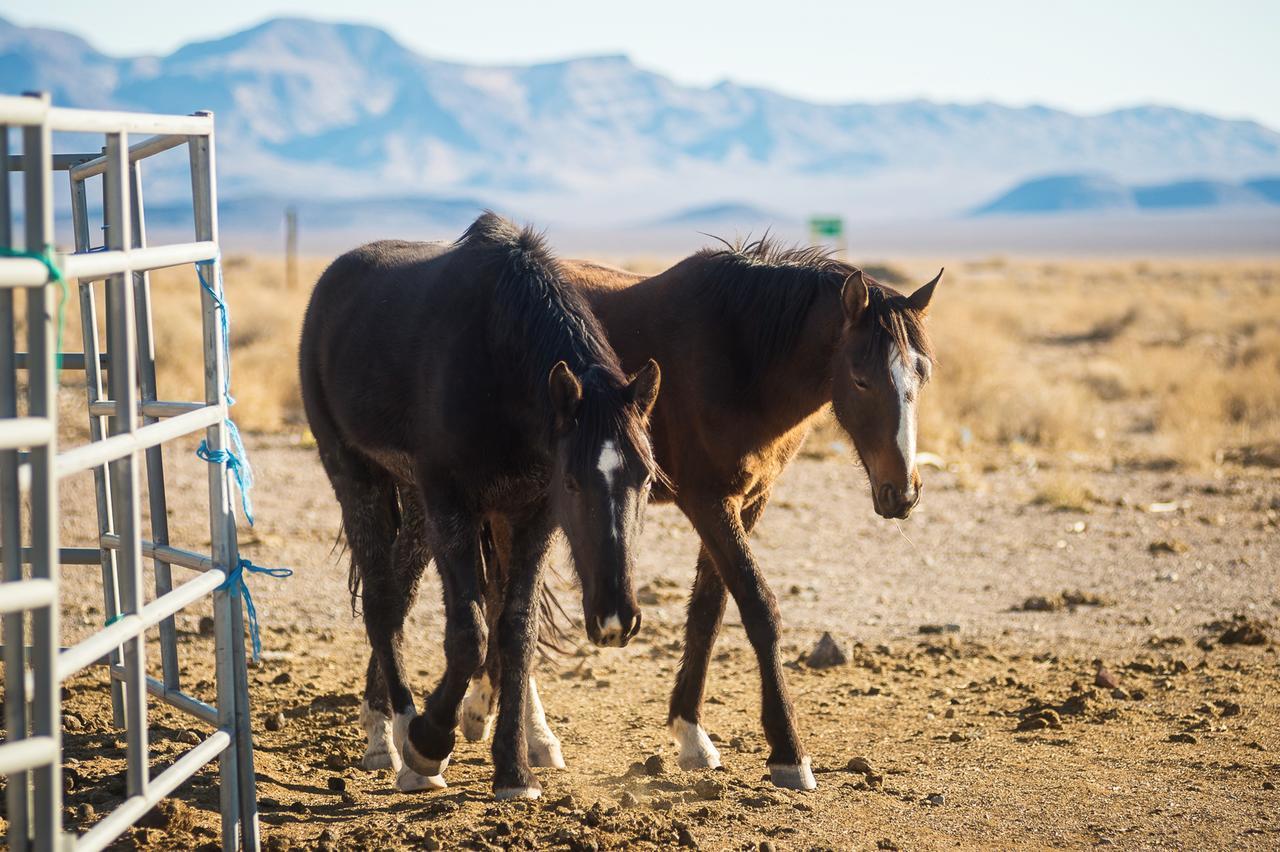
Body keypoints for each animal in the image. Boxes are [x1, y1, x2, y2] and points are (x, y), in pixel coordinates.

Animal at [298, 212, 660, 798]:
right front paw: (428, 742)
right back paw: (397, 742)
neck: (496, 357)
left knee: (399, 595)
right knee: (380, 602)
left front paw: (513, 769)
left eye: (645, 478)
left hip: (418, 505)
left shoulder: (530, 516)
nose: (615, 620)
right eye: (574, 482)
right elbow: (470, 634)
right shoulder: (454, 504)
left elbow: (515, 632)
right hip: (357, 477)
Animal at [455, 236, 936, 782]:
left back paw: (488, 711)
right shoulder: (707, 502)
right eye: (860, 380)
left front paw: (690, 733)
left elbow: (709, 609)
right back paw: (528, 734)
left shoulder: (747, 502)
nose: (902, 492)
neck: (740, 356)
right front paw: (788, 751)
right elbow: (757, 606)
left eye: (922, 374)